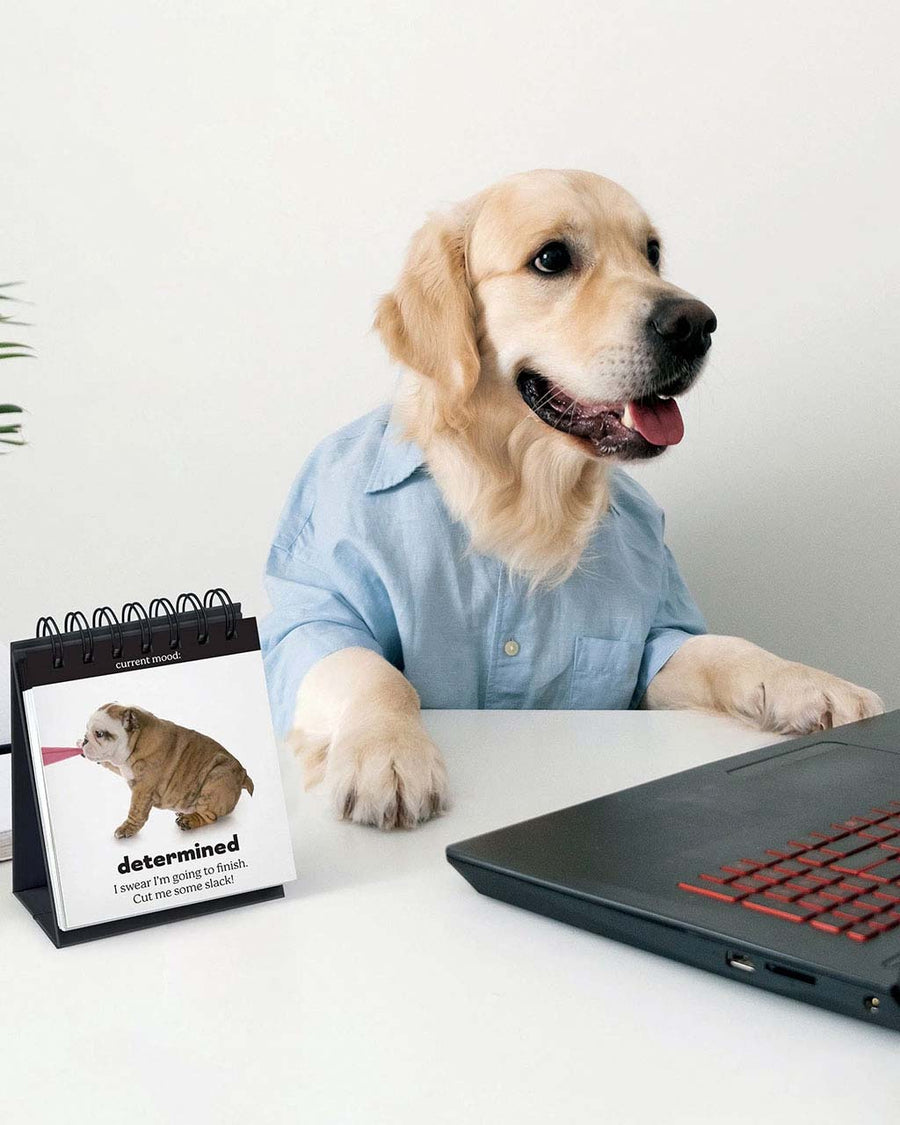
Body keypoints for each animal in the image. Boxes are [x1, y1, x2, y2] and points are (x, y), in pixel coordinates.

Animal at [258, 171, 877, 832]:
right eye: (551, 259)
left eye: (652, 252)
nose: (695, 323)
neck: (523, 486)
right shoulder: (314, 617)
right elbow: (371, 670)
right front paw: (387, 753)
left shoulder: (651, 650)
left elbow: (722, 648)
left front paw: (809, 683)